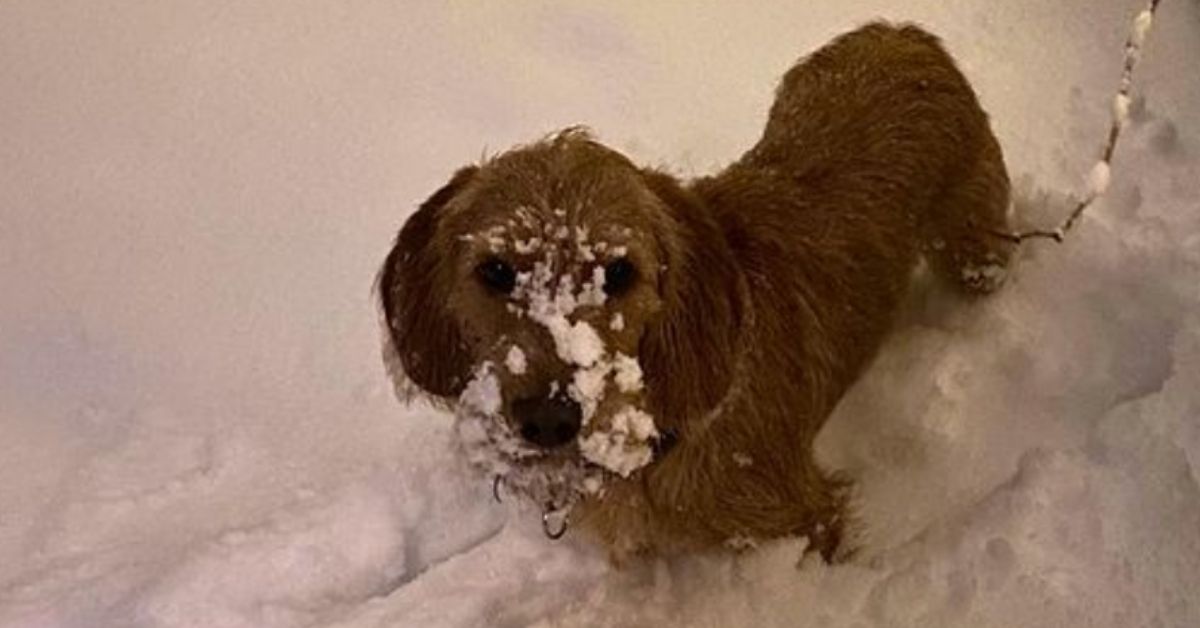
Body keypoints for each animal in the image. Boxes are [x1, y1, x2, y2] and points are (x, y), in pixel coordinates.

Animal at [376, 23, 1012, 564]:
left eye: (619, 272)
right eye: (496, 270)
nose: (549, 421)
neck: (662, 431)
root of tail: (900, 32)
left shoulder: (809, 518)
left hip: (972, 240)